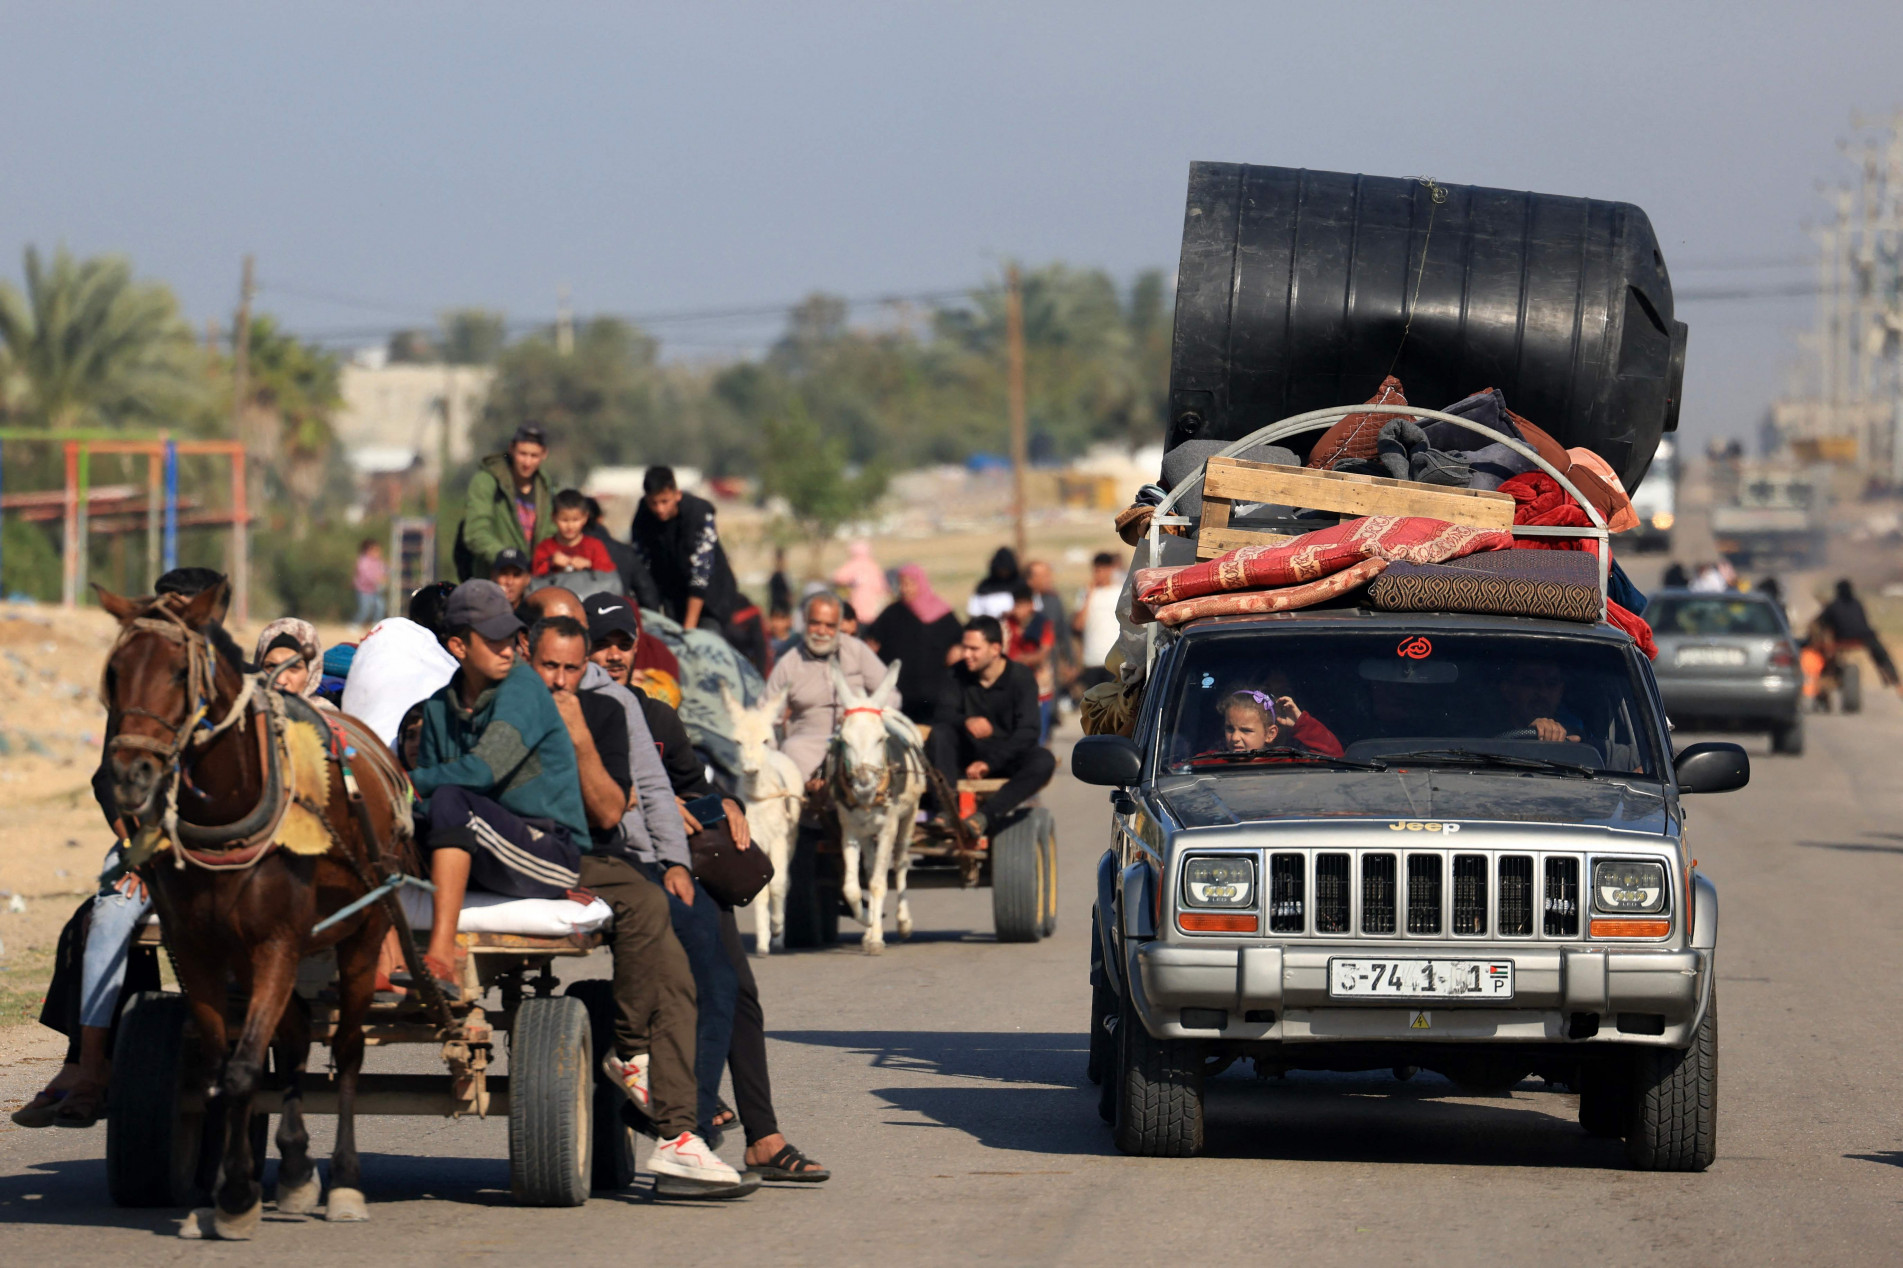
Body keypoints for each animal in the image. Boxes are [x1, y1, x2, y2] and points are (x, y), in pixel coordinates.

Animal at [98, 586, 418, 1233]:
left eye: (179, 672)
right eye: (113, 673)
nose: (128, 774)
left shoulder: (278, 940)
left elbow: (246, 1069)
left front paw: (239, 1197)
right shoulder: (199, 947)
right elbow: (224, 1071)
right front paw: (234, 1184)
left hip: (363, 931)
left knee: (348, 1047)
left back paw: (345, 1182)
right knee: (292, 1038)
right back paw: (294, 1168)